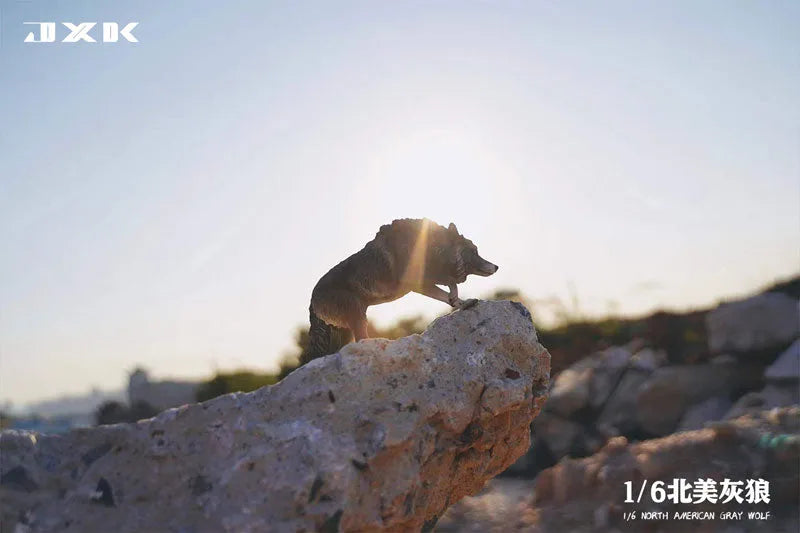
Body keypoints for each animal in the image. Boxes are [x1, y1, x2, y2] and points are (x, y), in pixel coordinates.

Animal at [304, 218, 498, 364]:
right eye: (475, 251)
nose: (497, 266)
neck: (433, 248)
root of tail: (312, 300)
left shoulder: (423, 283)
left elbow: (448, 293)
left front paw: (461, 303)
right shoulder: (418, 282)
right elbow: (451, 282)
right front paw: (456, 297)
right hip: (357, 315)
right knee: (361, 340)